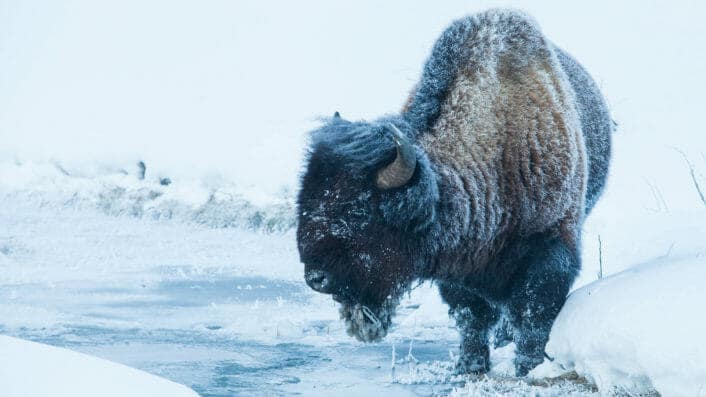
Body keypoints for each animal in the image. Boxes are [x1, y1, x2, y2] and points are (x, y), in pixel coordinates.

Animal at [294, 8, 608, 374]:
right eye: (305, 200)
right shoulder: (458, 265)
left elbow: (532, 314)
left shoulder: (549, 247)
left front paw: (528, 367)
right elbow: (471, 315)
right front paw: (470, 364)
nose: (316, 277)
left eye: (358, 211)